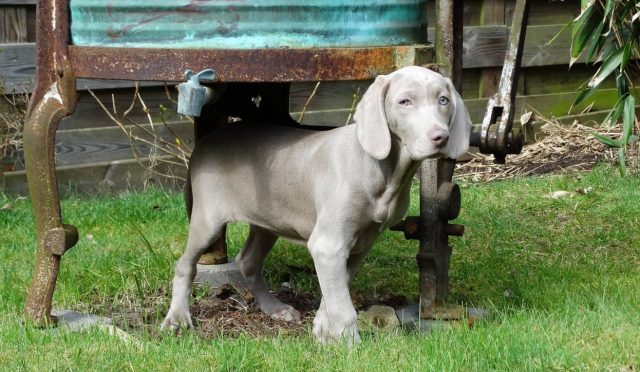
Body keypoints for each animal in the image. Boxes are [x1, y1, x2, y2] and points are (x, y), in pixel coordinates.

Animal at [161, 65, 470, 344]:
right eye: (404, 102)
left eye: (443, 100)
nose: (440, 137)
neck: (384, 172)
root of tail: (204, 143)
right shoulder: (329, 244)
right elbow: (344, 308)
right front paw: (350, 346)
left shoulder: (360, 244)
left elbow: (336, 291)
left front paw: (323, 331)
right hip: (208, 221)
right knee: (185, 265)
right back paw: (177, 318)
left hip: (268, 220)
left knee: (247, 262)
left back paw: (275, 309)